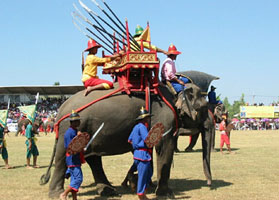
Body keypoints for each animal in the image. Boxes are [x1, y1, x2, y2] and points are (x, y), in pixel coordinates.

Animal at [42, 79, 214, 198]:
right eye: (204, 108)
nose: (209, 184)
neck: (173, 90)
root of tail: (60, 109)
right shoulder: (165, 117)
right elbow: (164, 147)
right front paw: (165, 194)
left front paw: (138, 182)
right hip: (70, 129)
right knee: (64, 157)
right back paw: (57, 194)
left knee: (93, 158)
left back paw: (109, 191)